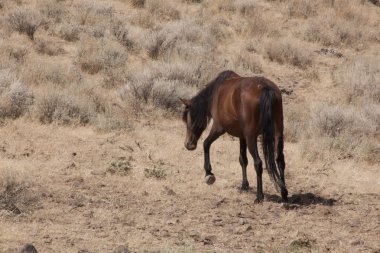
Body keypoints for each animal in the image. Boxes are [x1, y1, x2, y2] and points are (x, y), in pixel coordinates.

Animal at [181, 69, 288, 204]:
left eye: (188, 119)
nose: (188, 144)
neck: (217, 92)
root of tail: (265, 88)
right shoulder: (242, 137)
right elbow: (243, 160)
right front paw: (244, 185)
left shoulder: (218, 128)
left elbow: (206, 144)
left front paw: (209, 173)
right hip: (277, 134)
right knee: (280, 160)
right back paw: (284, 194)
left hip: (251, 138)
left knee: (258, 163)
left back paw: (259, 196)